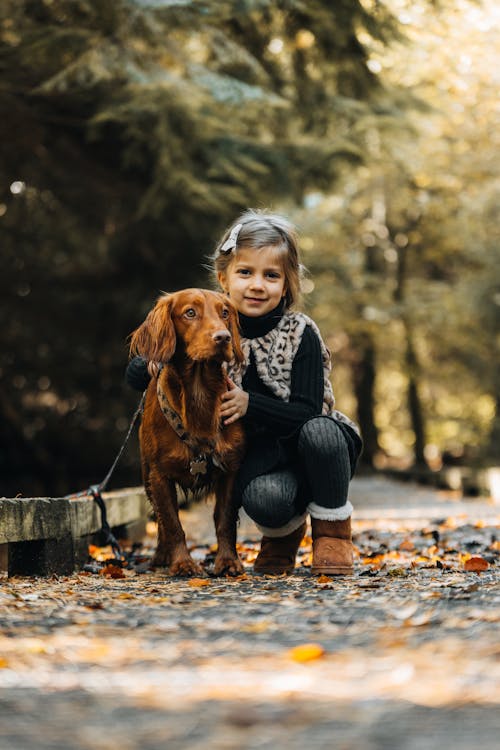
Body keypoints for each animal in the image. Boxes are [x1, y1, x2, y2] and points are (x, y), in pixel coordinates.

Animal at [130, 290, 245, 580]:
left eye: (224, 312)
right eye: (190, 313)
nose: (223, 338)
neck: (199, 391)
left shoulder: (231, 470)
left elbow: (225, 519)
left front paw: (228, 561)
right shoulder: (159, 475)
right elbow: (171, 523)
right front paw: (182, 563)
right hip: (146, 475)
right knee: (160, 520)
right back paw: (161, 556)